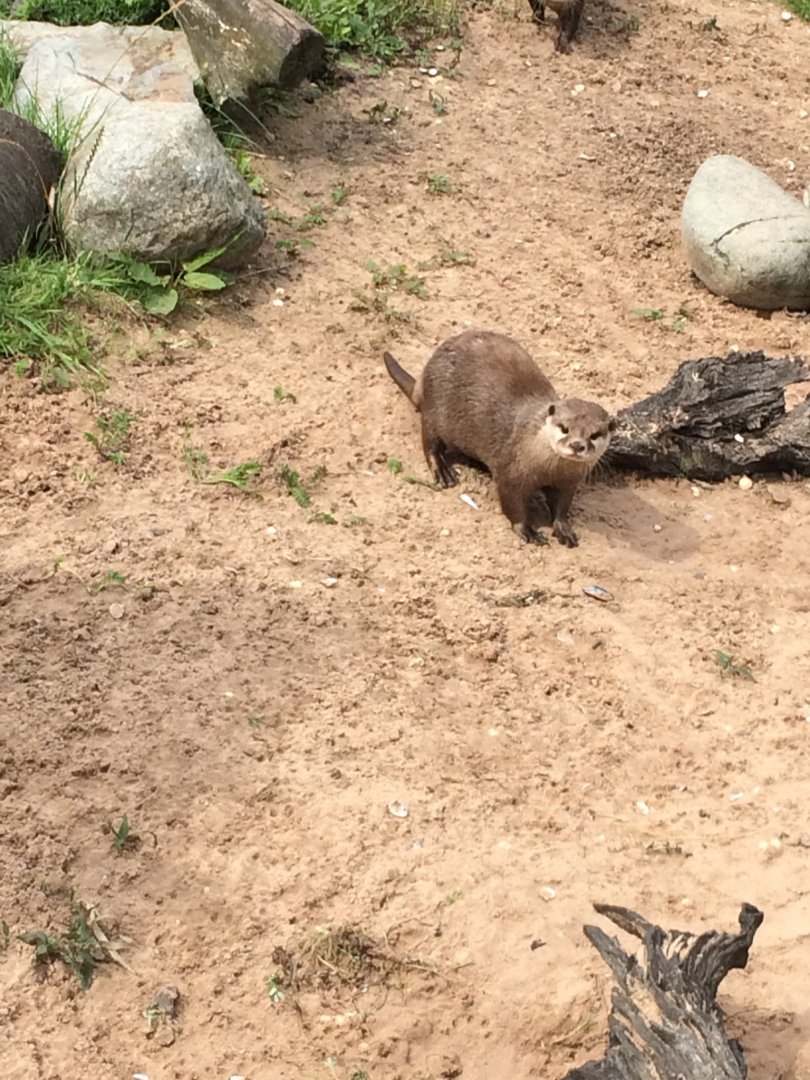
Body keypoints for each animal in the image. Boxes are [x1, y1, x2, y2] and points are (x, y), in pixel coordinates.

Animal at [383, 330, 614, 548]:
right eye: (564, 428)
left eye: (594, 434)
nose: (577, 445)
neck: (545, 467)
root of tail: (423, 377)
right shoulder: (510, 471)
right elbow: (512, 503)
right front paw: (527, 530)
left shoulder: (568, 482)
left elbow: (562, 506)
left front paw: (564, 530)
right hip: (434, 408)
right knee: (429, 441)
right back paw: (442, 470)